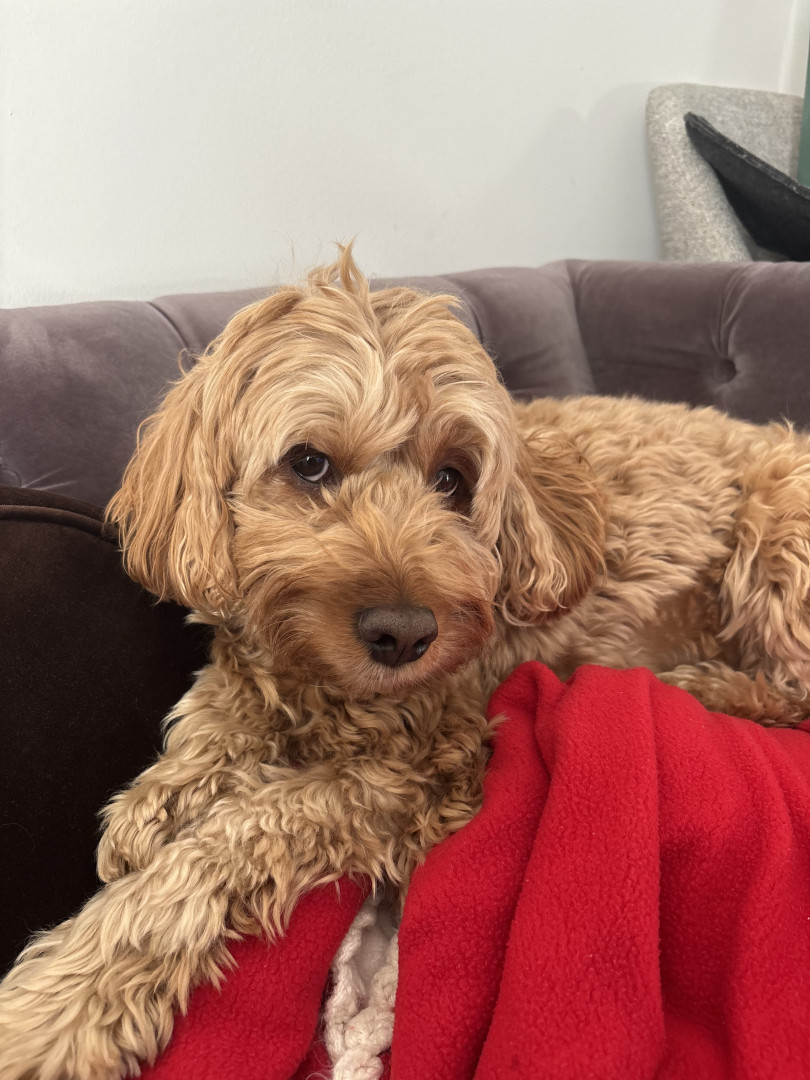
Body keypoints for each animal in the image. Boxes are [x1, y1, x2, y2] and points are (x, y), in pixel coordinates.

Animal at [3, 248, 810, 1078]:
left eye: (453, 479)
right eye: (310, 464)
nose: (404, 633)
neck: (319, 687)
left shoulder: (421, 770)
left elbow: (237, 835)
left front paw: (61, 1009)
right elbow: (212, 724)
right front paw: (158, 799)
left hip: (779, 518)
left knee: (795, 690)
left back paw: (705, 684)